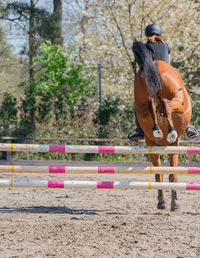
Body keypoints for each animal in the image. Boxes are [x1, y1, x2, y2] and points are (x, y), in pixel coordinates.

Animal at [132, 39, 191, 210]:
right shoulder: (172, 146)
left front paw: (164, 201)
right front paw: (172, 202)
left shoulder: (153, 144)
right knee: (166, 104)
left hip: (141, 105)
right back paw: (169, 131)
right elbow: (170, 174)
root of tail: (156, 67)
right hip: (178, 101)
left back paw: (159, 130)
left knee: (151, 104)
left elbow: (161, 174)